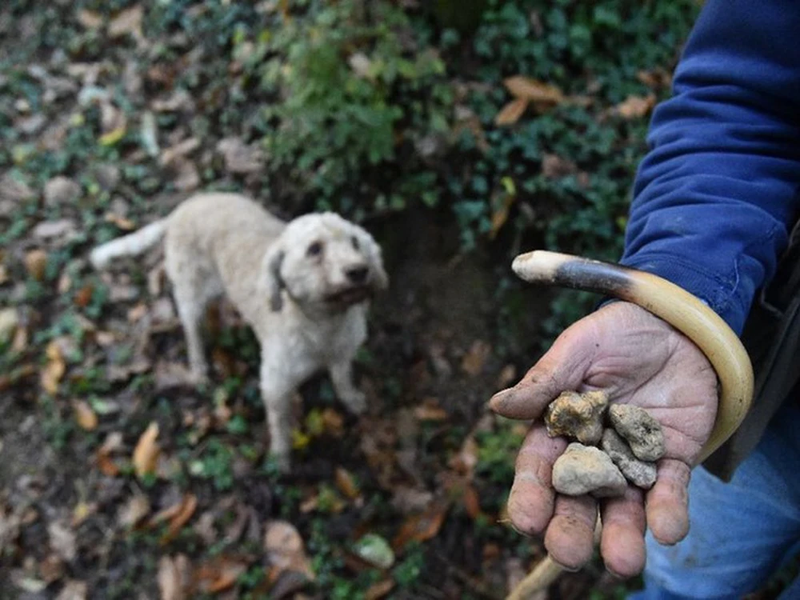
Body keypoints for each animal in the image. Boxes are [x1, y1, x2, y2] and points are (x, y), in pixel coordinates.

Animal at [90, 195, 388, 472]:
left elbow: (343, 380)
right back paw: (199, 367)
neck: (324, 324)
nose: (360, 271)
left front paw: (353, 400)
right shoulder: (275, 384)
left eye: (355, 242)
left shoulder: (343, 354)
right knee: (192, 331)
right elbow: (280, 424)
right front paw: (281, 458)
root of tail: (184, 207)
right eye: (314, 249)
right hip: (190, 294)